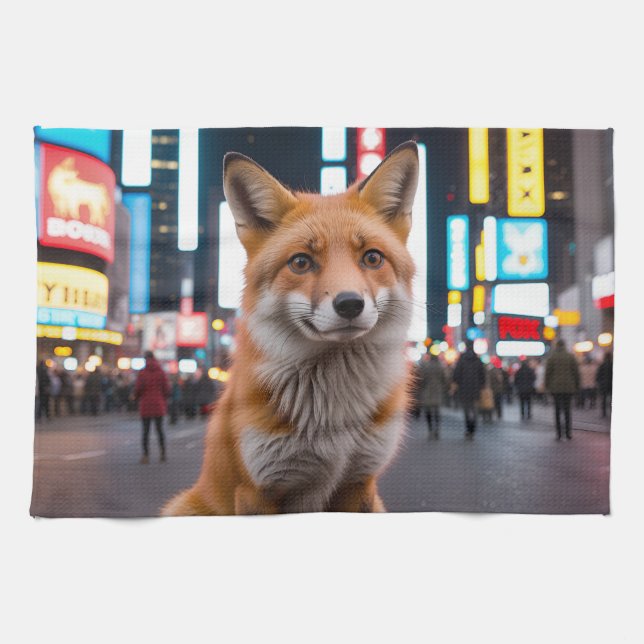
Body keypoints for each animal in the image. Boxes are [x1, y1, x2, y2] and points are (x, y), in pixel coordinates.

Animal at [161, 140, 419, 515]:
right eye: (300, 262)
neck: (333, 415)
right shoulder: (257, 489)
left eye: (372, 258)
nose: (350, 304)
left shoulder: (359, 481)